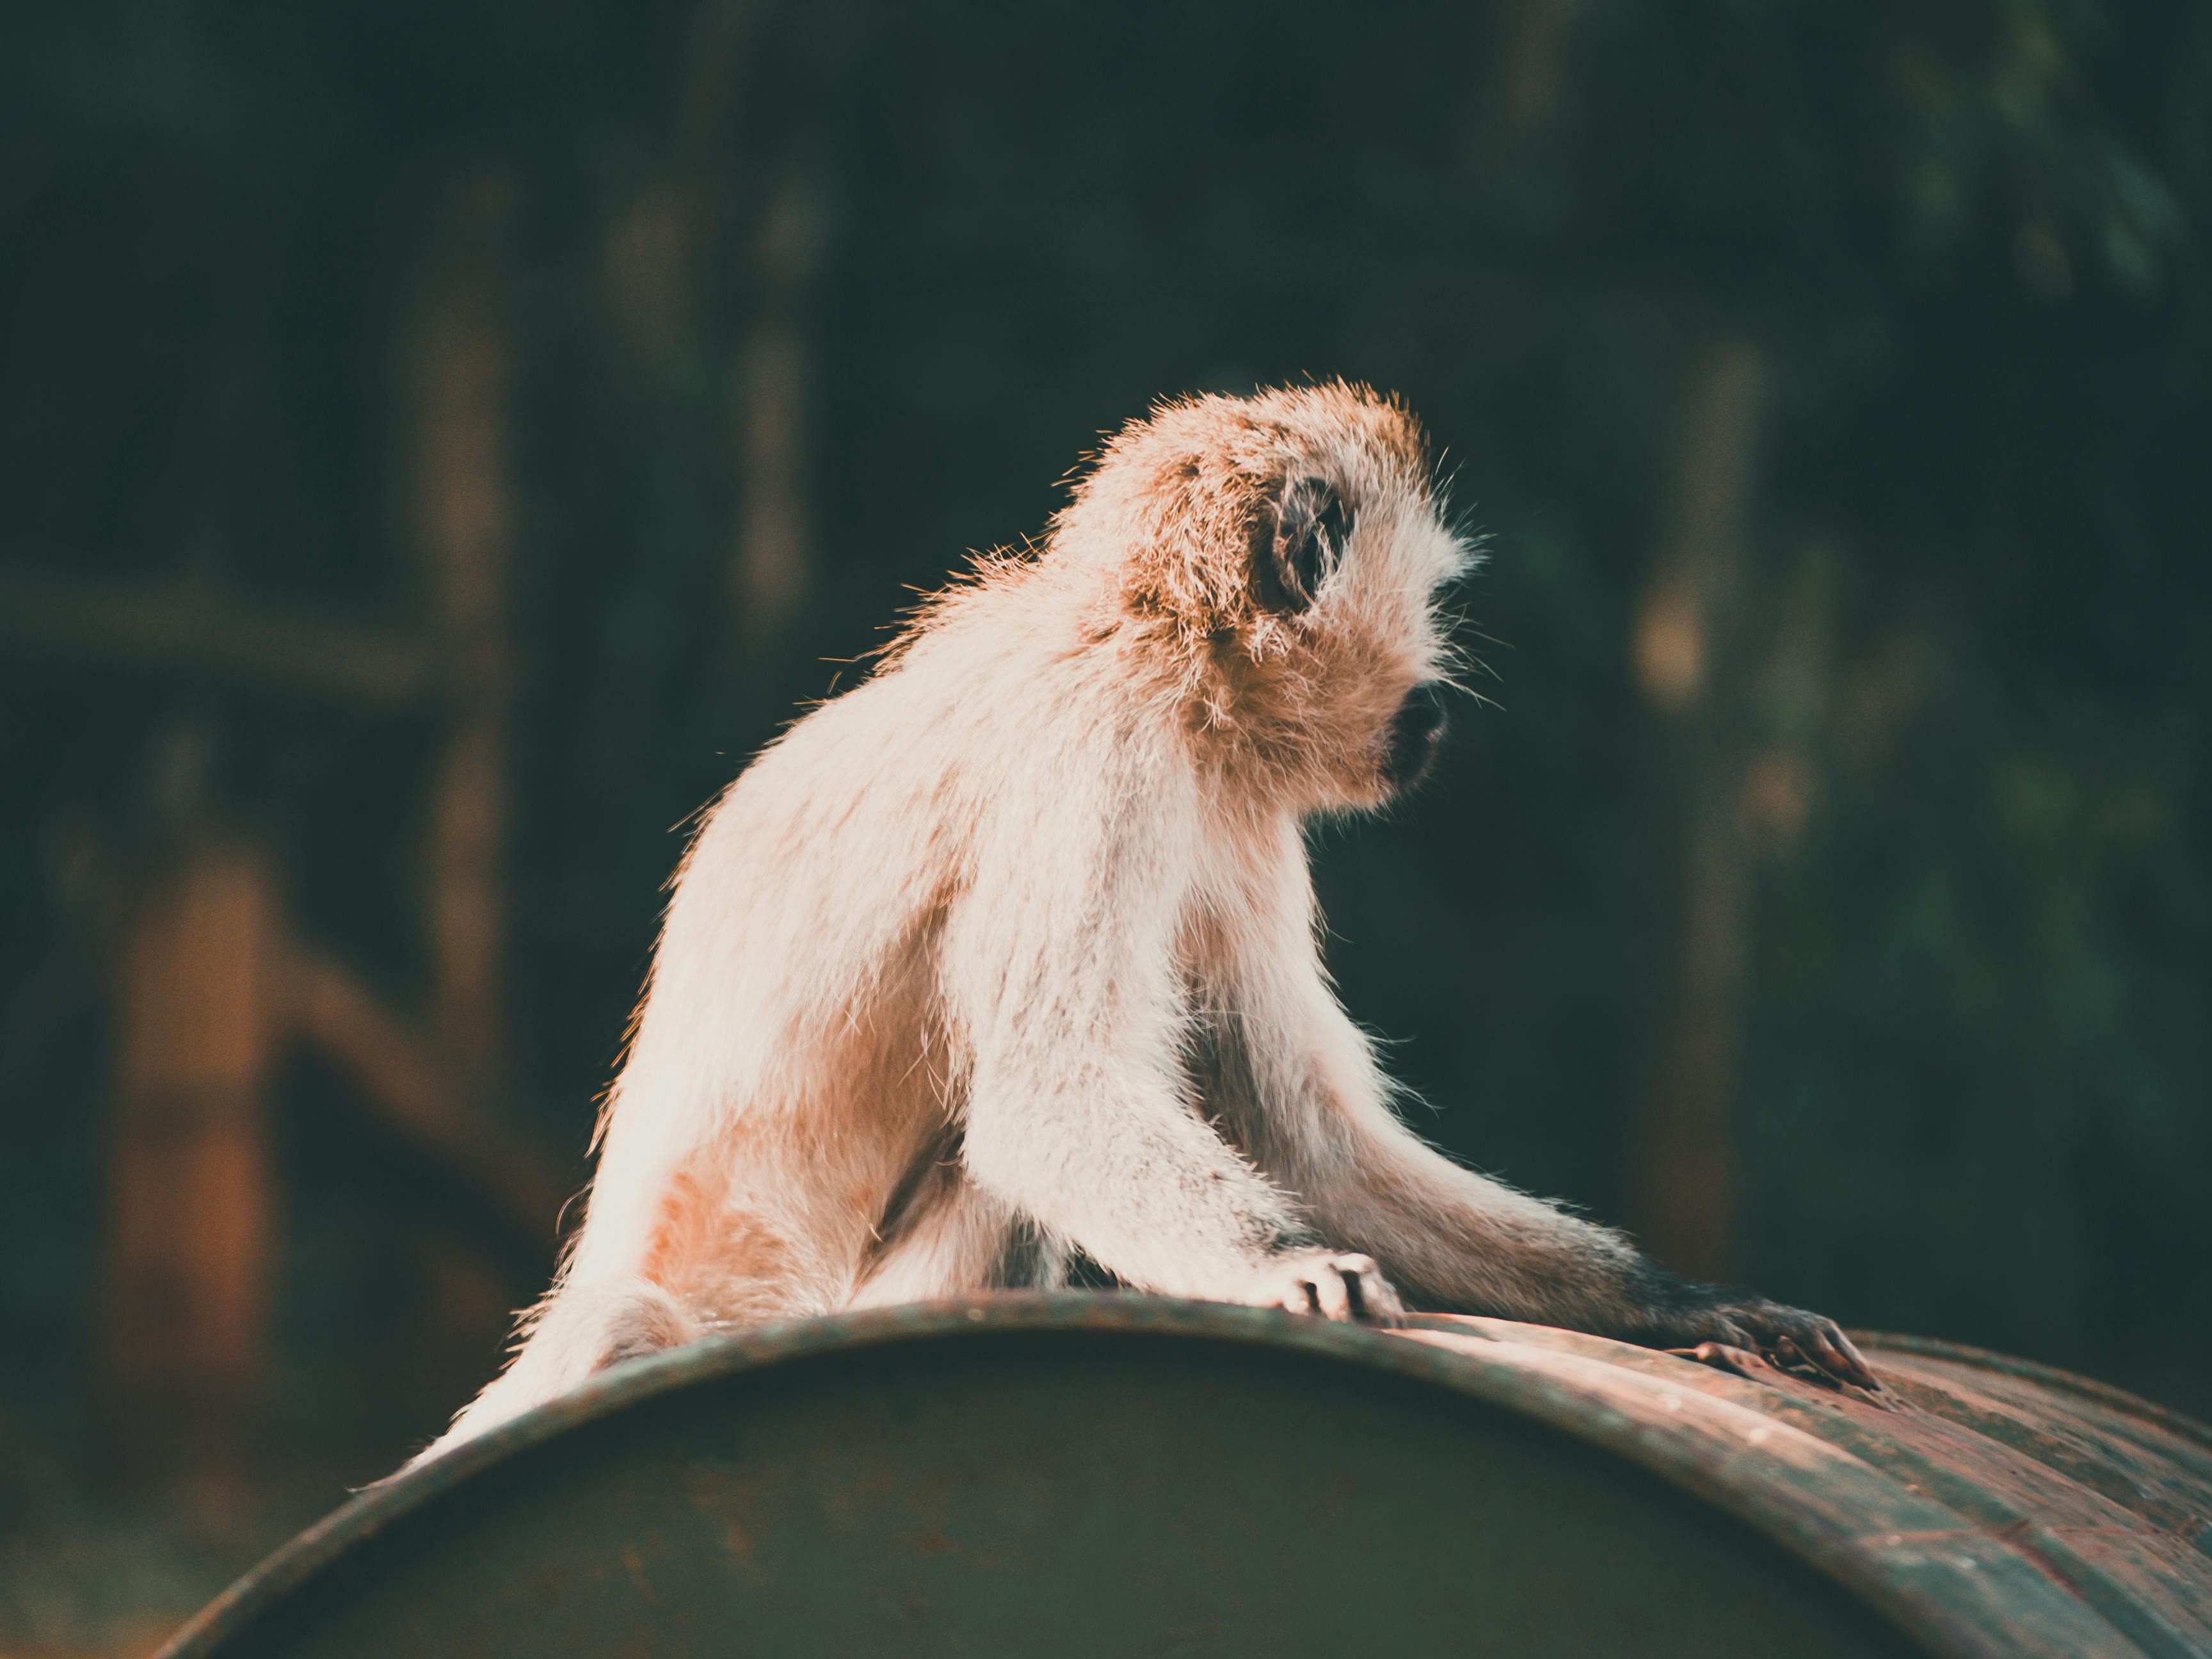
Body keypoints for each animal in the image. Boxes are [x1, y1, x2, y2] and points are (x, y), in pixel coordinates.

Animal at [406, 387, 1875, 1468]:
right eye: (1435, 609)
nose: (1440, 706)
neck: (1154, 642)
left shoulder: (1230, 805)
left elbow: (1309, 1146)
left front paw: (1677, 1304)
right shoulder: (1103, 751)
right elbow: (1054, 1097)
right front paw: (1292, 1275)